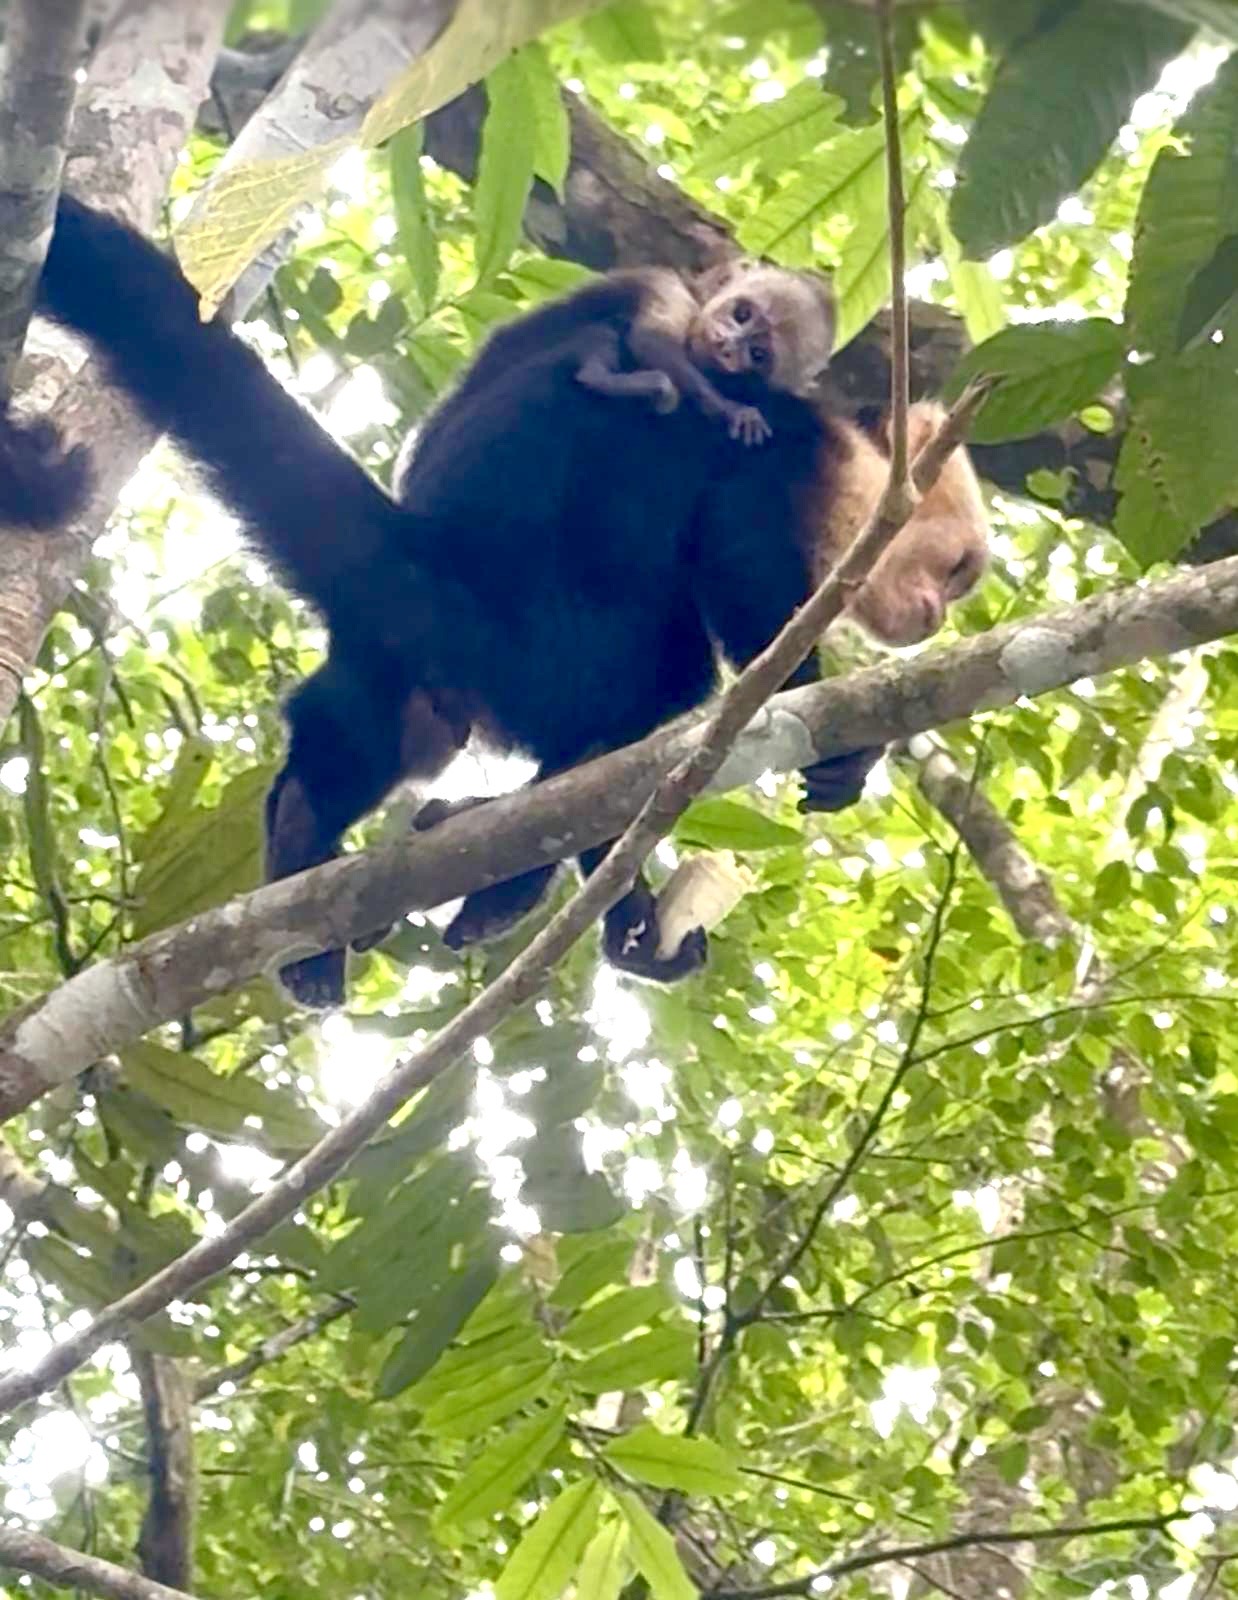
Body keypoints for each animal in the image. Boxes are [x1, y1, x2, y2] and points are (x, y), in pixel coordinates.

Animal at [1, 194, 988, 1008]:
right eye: (958, 571)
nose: (940, 614)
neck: (843, 480)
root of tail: (420, 549)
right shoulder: (780, 457)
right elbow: (745, 591)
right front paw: (839, 743)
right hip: (523, 605)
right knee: (659, 638)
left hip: (410, 658)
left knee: (373, 727)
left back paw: (346, 837)